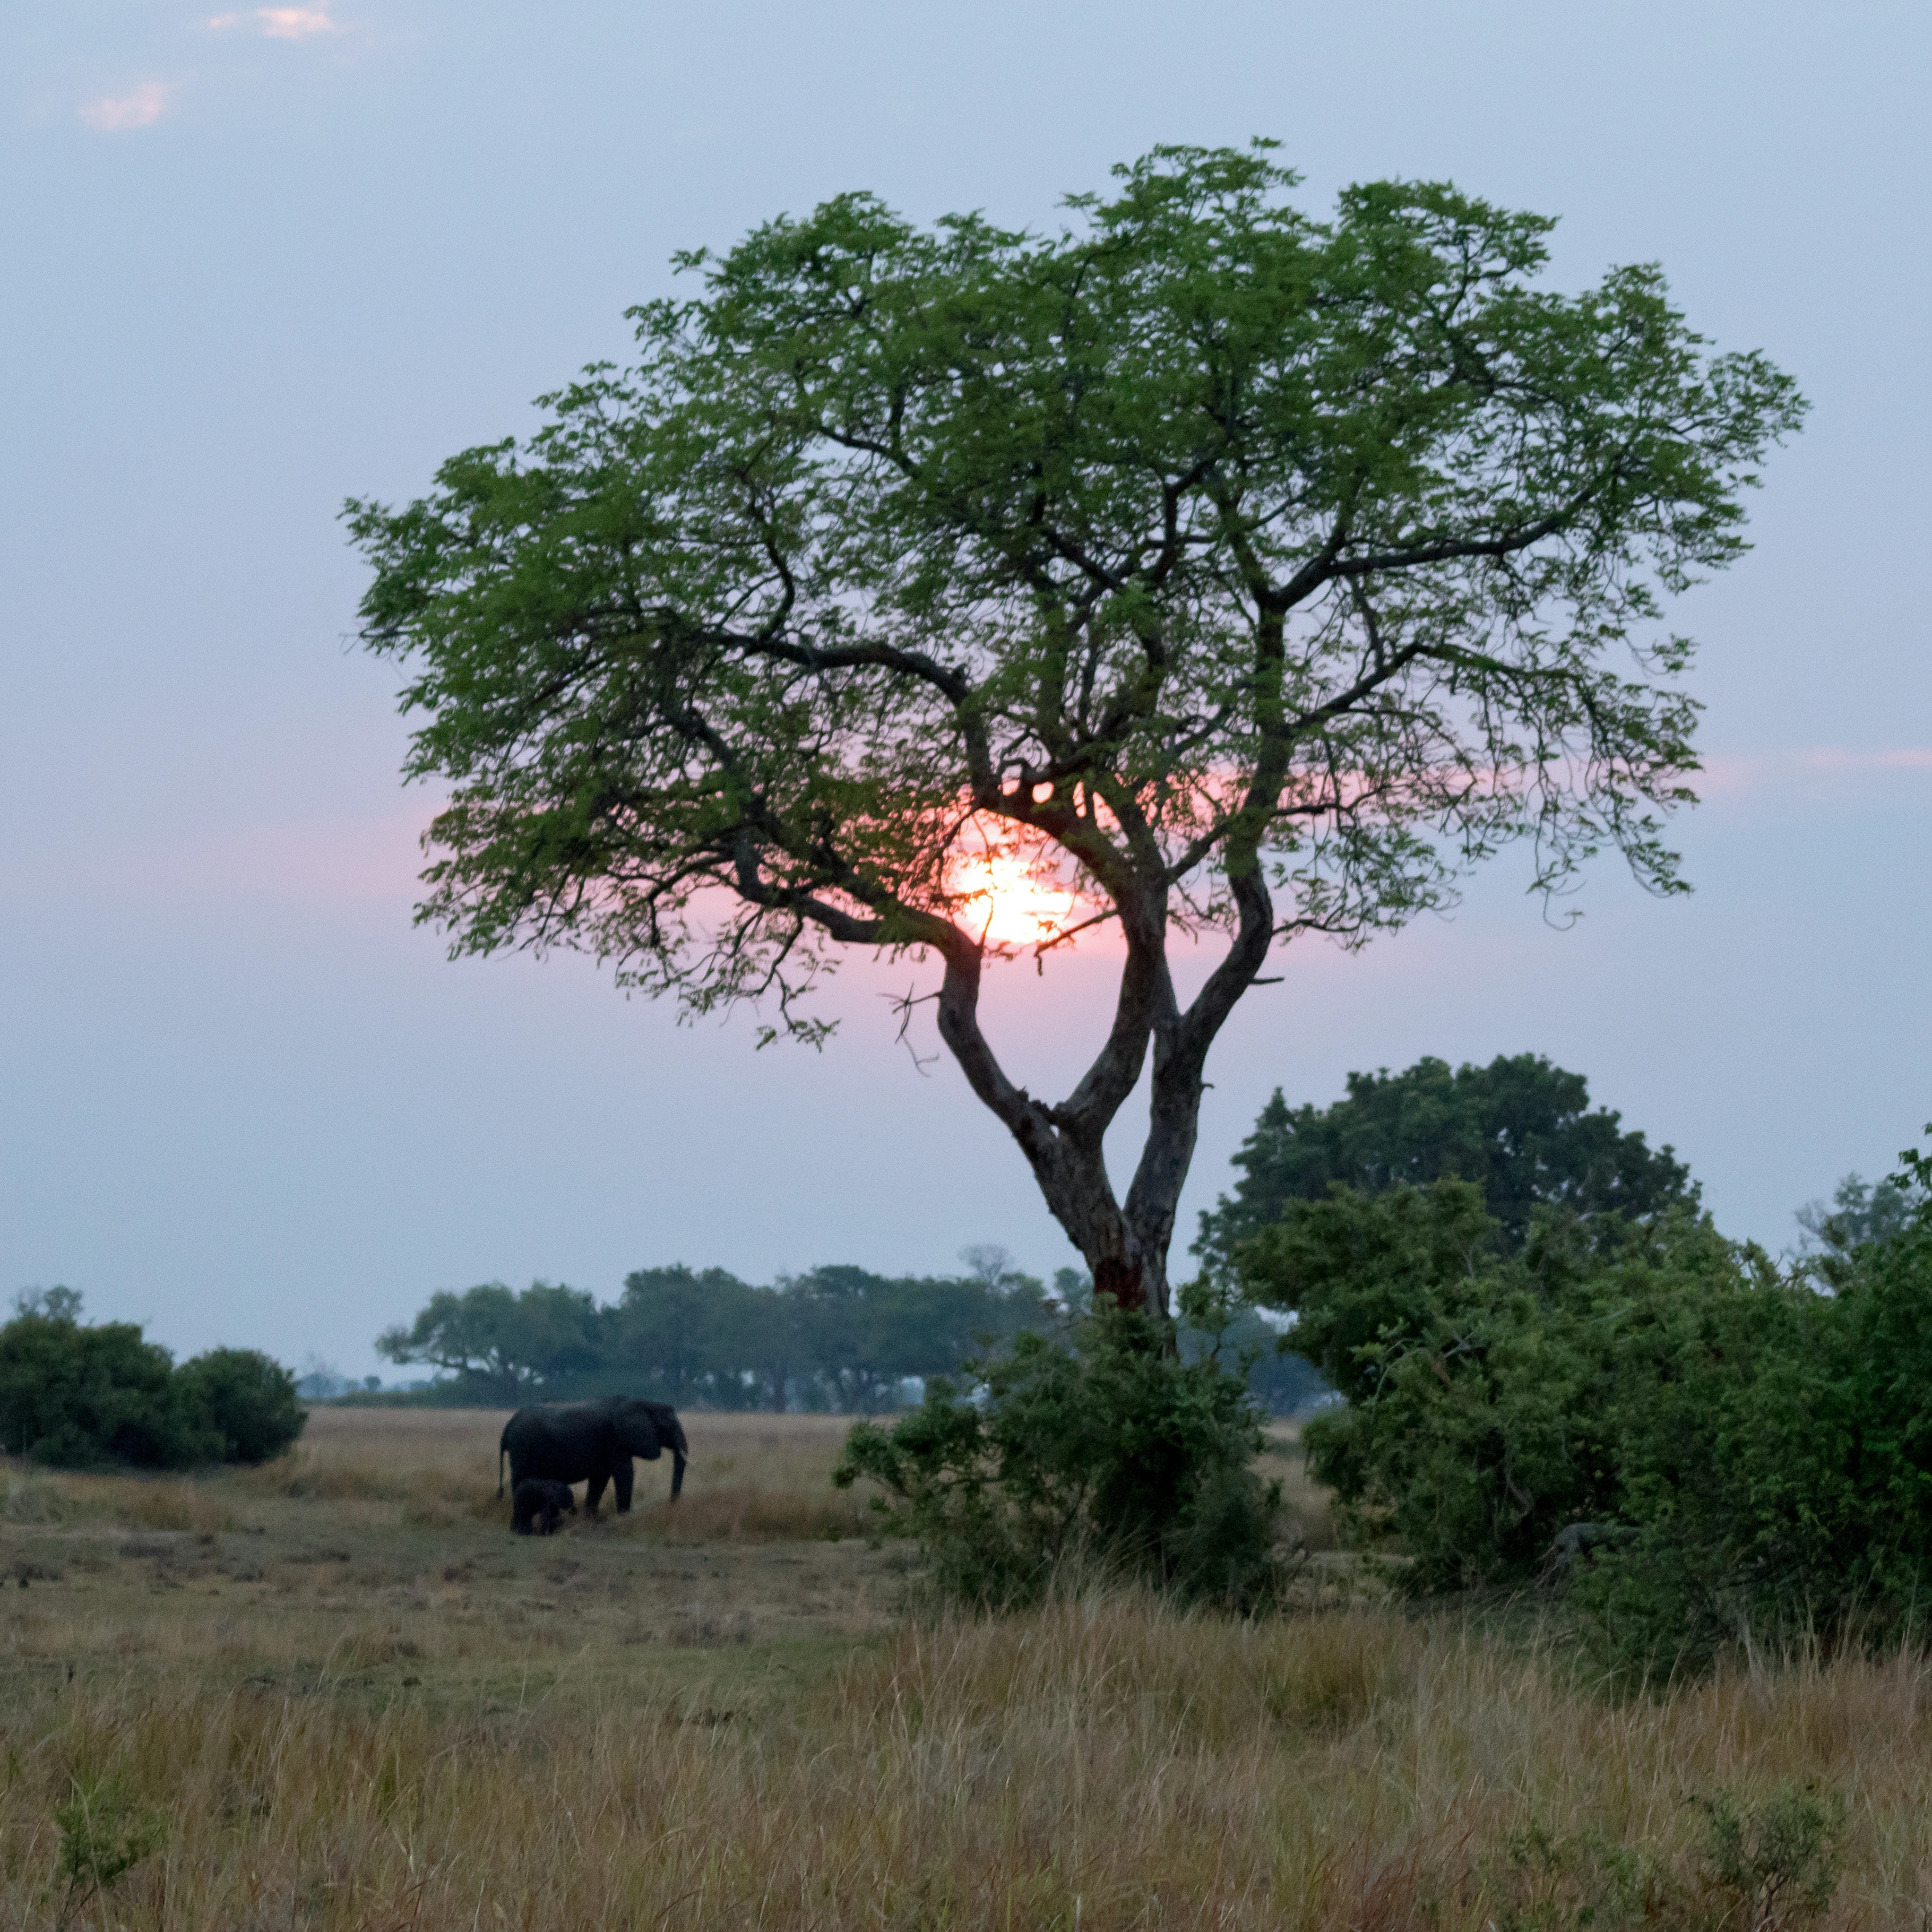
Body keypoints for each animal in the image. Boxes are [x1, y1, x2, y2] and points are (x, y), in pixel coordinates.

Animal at [497, 1397, 688, 1515]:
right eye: (670, 1427)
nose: (671, 1507)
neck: (645, 1403)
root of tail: (509, 1424)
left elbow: (600, 1479)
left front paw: (590, 1516)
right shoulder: (615, 1443)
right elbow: (625, 1474)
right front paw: (625, 1516)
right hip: (522, 1447)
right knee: (521, 1478)